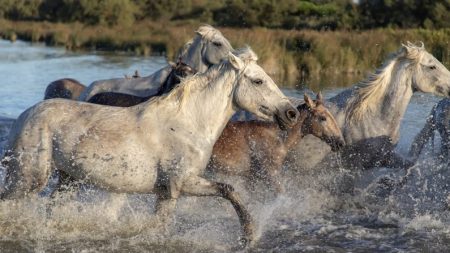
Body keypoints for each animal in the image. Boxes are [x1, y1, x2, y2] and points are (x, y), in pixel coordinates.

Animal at [0, 47, 298, 245]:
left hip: (67, 180)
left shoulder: (169, 190)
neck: (188, 122)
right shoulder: (180, 184)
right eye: (258, 80)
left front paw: (249, 234)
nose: (291, 113)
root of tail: (25, 116)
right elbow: (224, 193)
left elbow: (225, 191)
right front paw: (249, 233)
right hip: (29, 177)